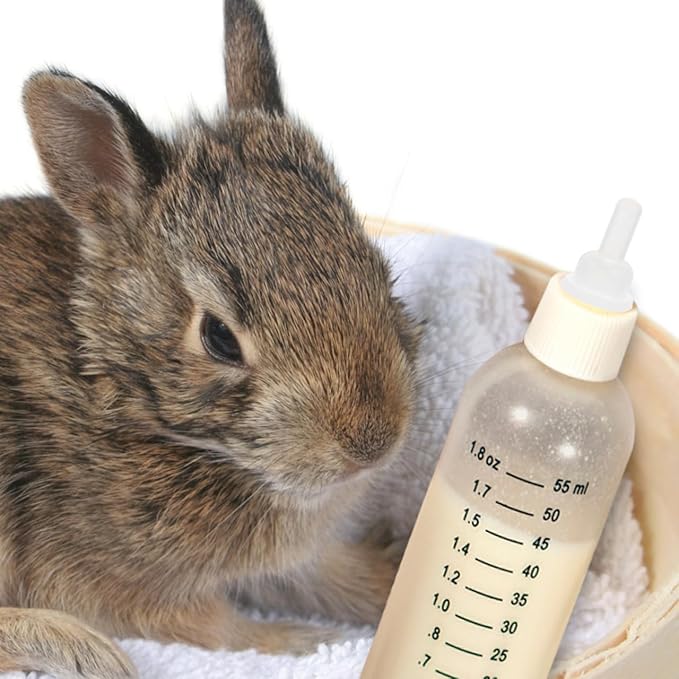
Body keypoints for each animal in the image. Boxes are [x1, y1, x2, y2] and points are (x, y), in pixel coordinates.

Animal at [0, 0, 422, 677]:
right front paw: (302, 644)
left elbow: (332, 576)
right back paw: (81, 649)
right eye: (219, 338)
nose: (372, 441)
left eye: (380, 273)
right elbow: (220, 627)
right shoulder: (120, 585)